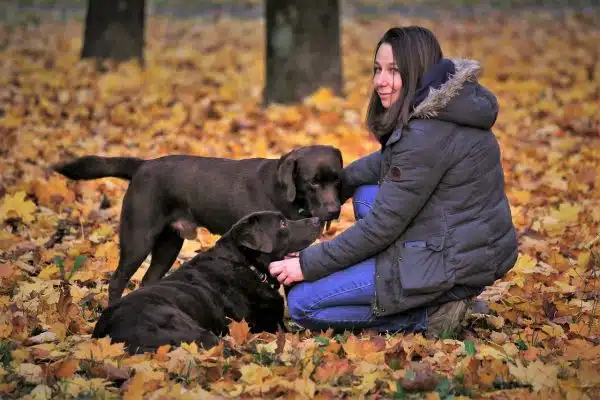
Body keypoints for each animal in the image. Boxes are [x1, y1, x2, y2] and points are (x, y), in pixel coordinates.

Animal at [54, 145, 344, 304]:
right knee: (116, 281)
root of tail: (143, 165)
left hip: (169, 244)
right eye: (313, 182)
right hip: (139, 238)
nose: (334, 210)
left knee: (148, 280)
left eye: (336, 179)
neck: (284, 194)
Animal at [91, 211, 322, 354]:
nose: (318, 220)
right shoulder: (268, 325)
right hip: (193, 331)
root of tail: (110, 335)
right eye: (282, 223)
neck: (248, 265)